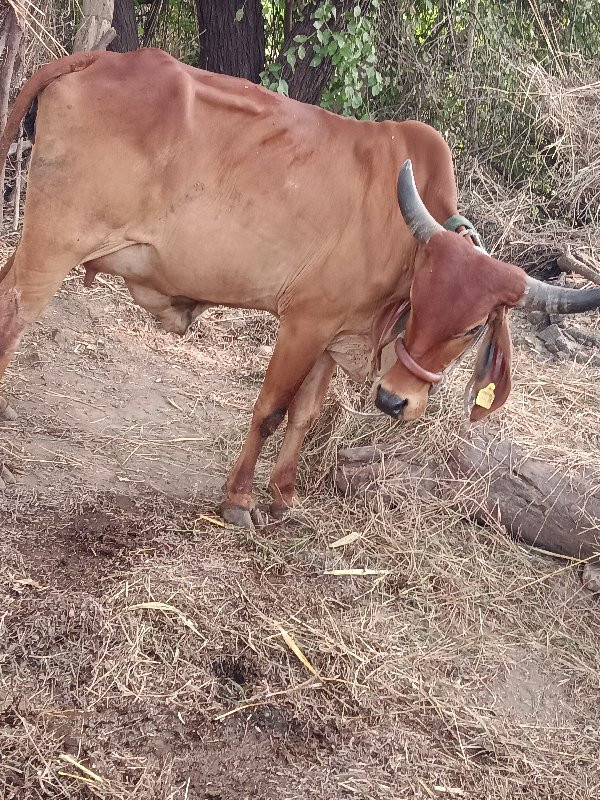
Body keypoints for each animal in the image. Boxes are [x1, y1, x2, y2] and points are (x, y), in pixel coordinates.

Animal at [1, 48, 600, 524]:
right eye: (419, 298)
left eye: (474, 326)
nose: (393, 400)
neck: (398, 229)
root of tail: (99, 58)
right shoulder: (304, 324)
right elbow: (270, 409)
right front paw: (239, 500)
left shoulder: (335, 336)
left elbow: (304, 416)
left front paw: (284, 497)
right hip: (55, 243)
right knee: (13, 316)